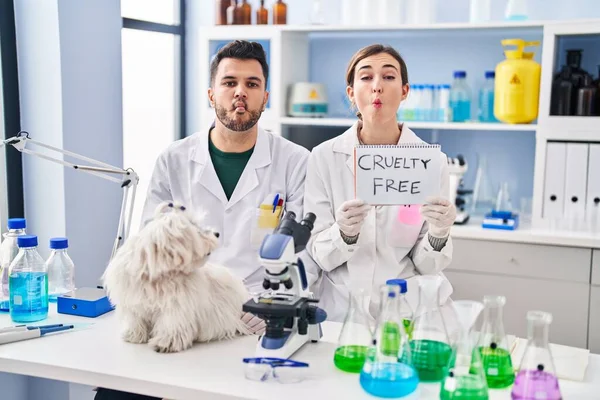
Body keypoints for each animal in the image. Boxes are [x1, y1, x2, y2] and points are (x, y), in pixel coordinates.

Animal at [102, 202, 250, 352]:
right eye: (195, 228)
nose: (217, 234)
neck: (156, 275)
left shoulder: (177, 304)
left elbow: (172, 322)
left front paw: (166, 342)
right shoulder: (132, 299)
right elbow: (135, 319)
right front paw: (134, 335)